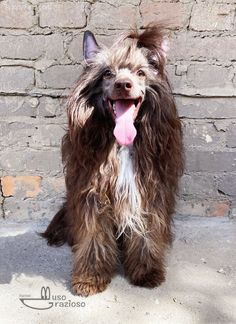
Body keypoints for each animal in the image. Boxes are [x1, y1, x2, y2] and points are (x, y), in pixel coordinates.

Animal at [41, 24, 183, 298]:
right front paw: (90, 276)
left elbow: (146, 233)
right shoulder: (91, 194)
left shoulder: (148, 192)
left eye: (140, 73)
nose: (123, 85)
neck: (122, 145)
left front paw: (146, 271)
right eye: (107, 73)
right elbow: (94, 236)